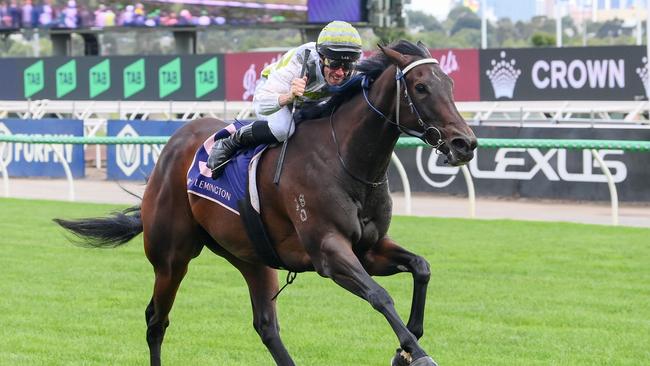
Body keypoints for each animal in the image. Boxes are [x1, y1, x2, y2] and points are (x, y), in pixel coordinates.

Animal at [54, 40, 476, 366]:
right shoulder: (328, 251)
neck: (345, 158)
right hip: (171, 258)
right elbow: (380, 295)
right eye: (420, 87)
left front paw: (406, 345)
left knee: (266, 327)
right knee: (156, 320)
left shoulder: (369, 248)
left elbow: (421, 268)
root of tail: (174, 145)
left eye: (449, 83)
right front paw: (415, 352)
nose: (465, 143)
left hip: (251, 256)